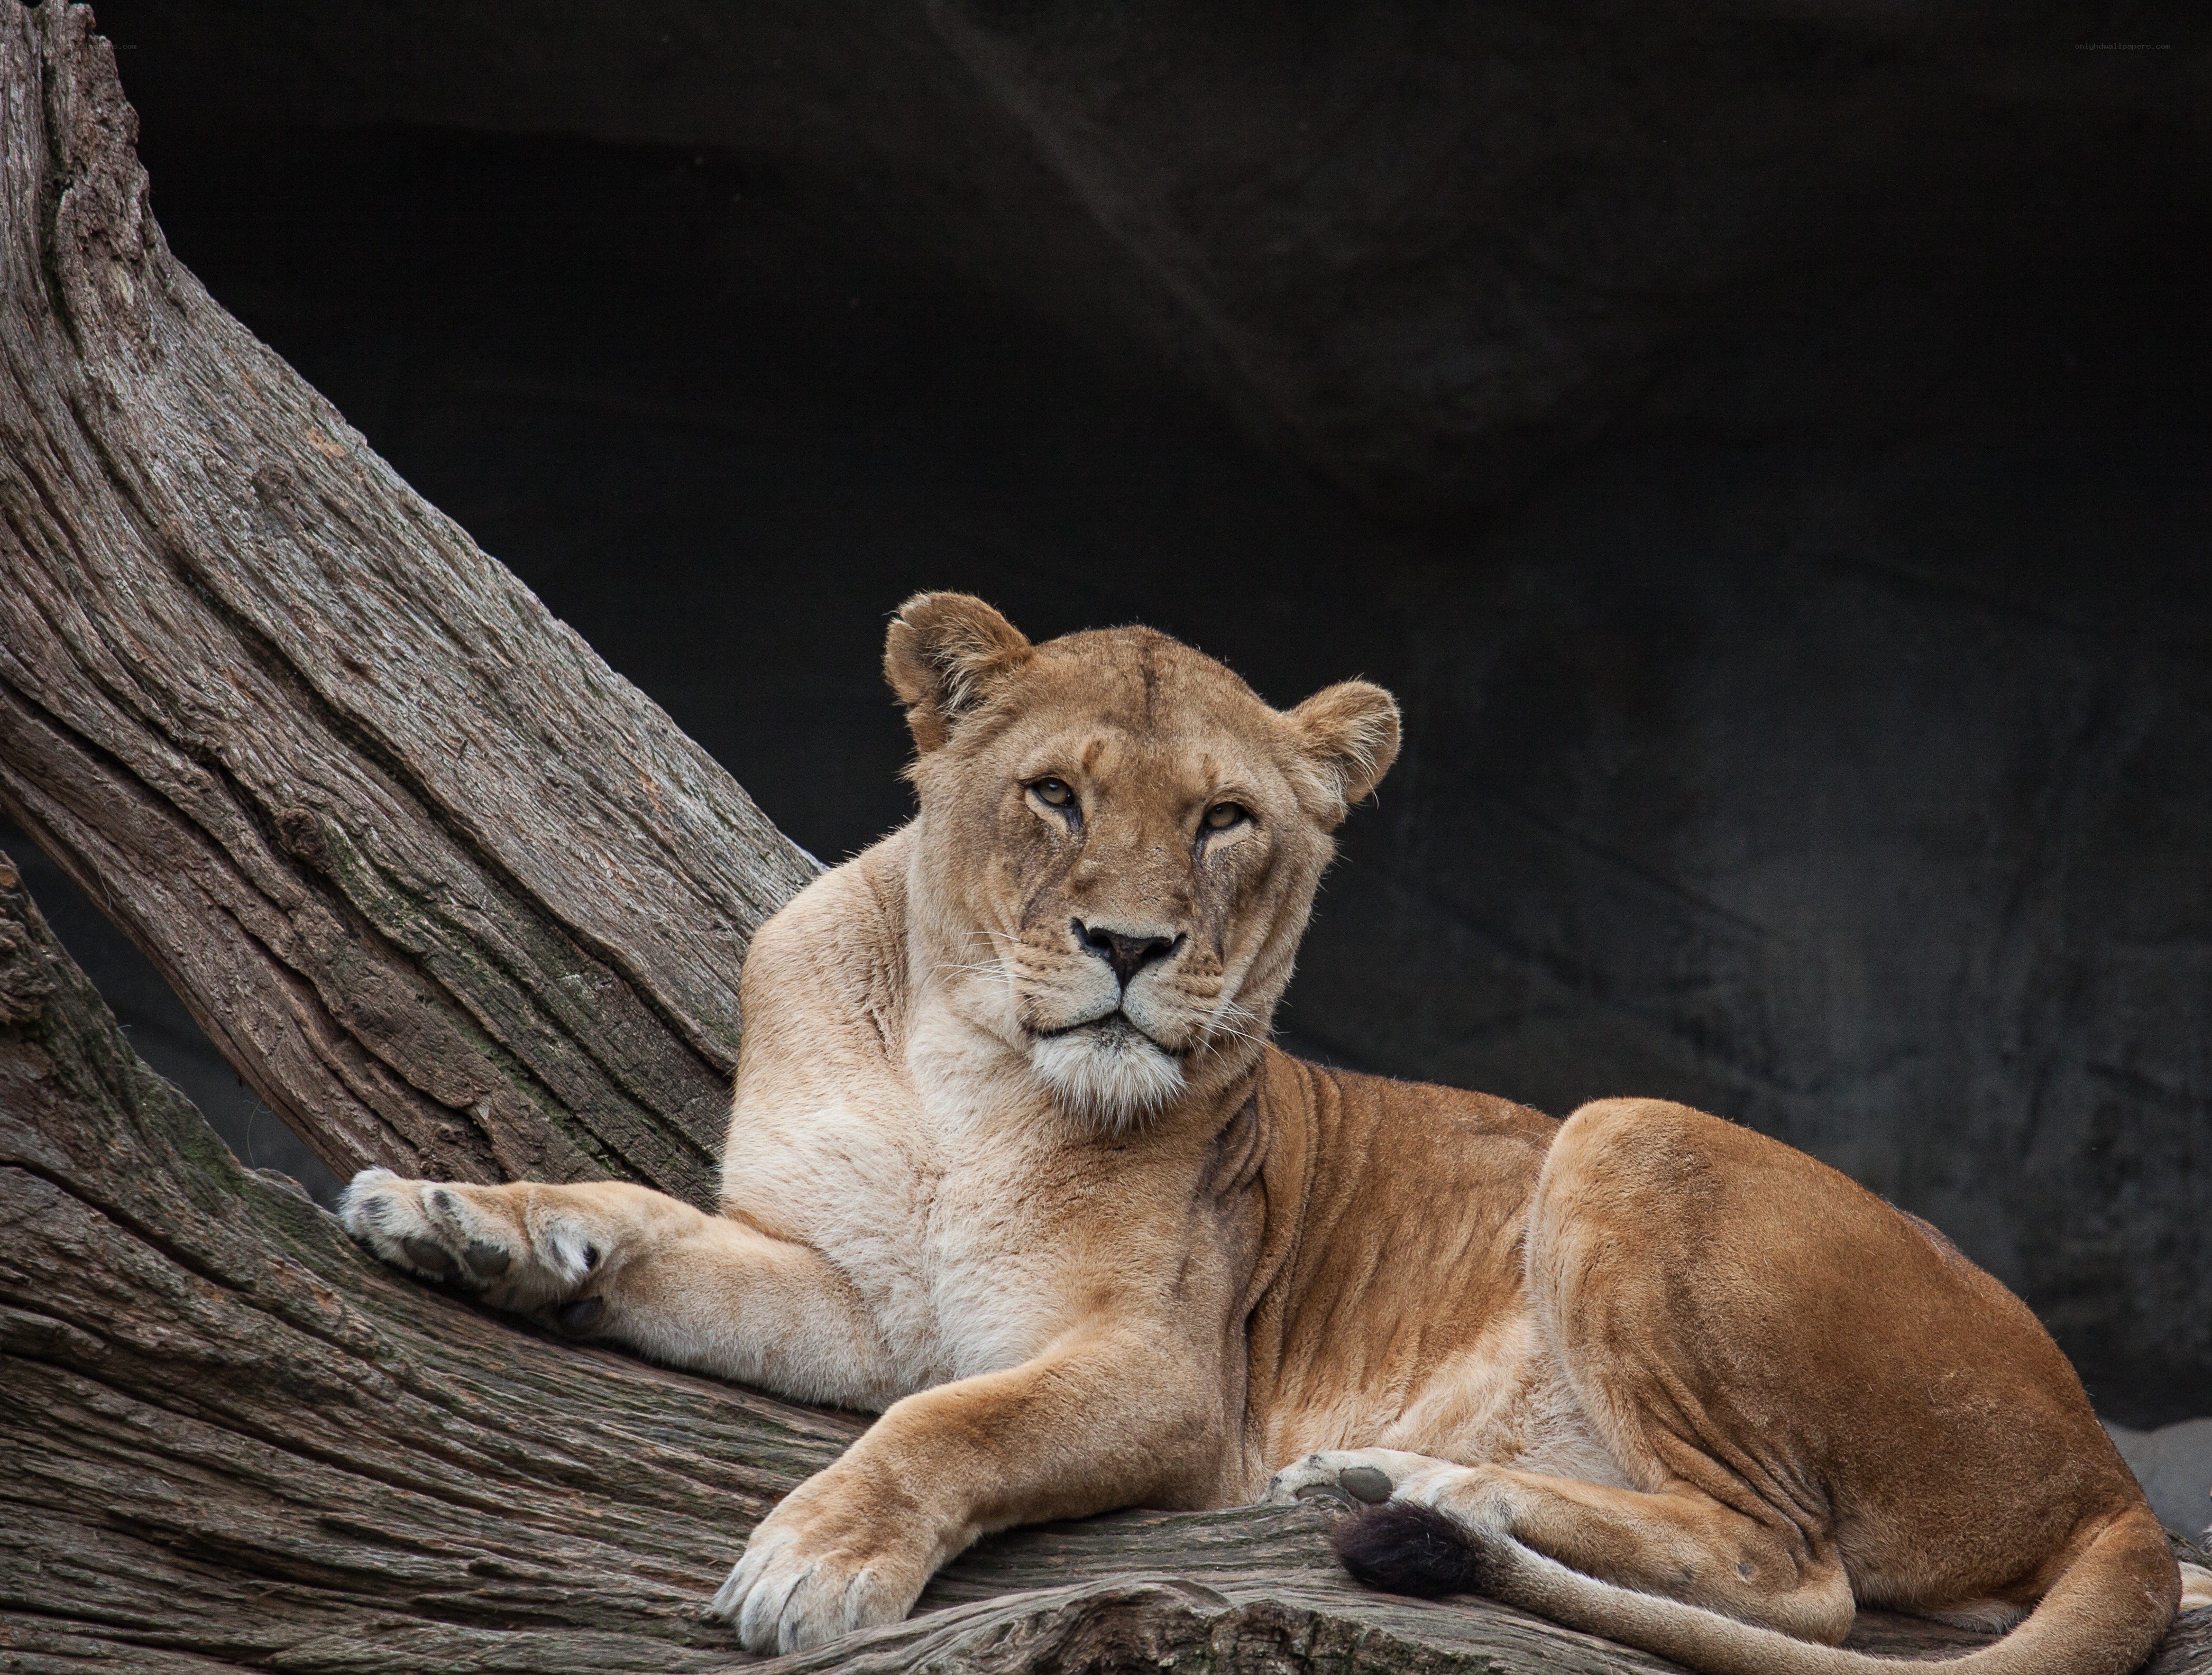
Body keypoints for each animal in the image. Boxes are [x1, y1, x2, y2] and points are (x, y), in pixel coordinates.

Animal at [341, 592, 2209, 1671]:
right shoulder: (856, 1297)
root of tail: (2105, 1463)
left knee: (1795, 1573)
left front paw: (811, 1562)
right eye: (1055, 797)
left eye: (1224, 822)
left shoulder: (1163, 1376)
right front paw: (460, 1218)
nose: (1127, 947)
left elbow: (949, 1428)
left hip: (1623, 1128)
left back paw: (1427, 1481)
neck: (965, 1070)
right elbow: (645, 1223)